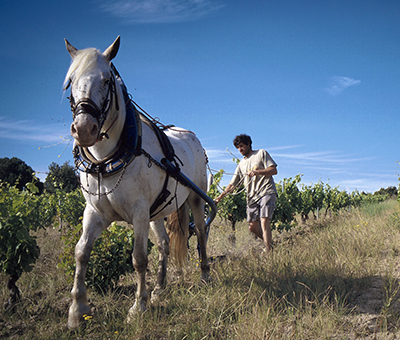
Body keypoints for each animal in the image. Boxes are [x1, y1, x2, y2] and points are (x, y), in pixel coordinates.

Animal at [65, 35, 214, 328]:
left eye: (106, 80)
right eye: (71, 80)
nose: (84, 129)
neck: (108, 158)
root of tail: (191, 136)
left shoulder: (139, 213)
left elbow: (139, 258)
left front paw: (138, 306)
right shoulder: (95, 212)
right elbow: (81, 252)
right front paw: (78, 311)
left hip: (195, 197)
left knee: (201, 232)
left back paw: (204, 275)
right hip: (158, 211)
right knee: (165, 244)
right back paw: (159, 288)